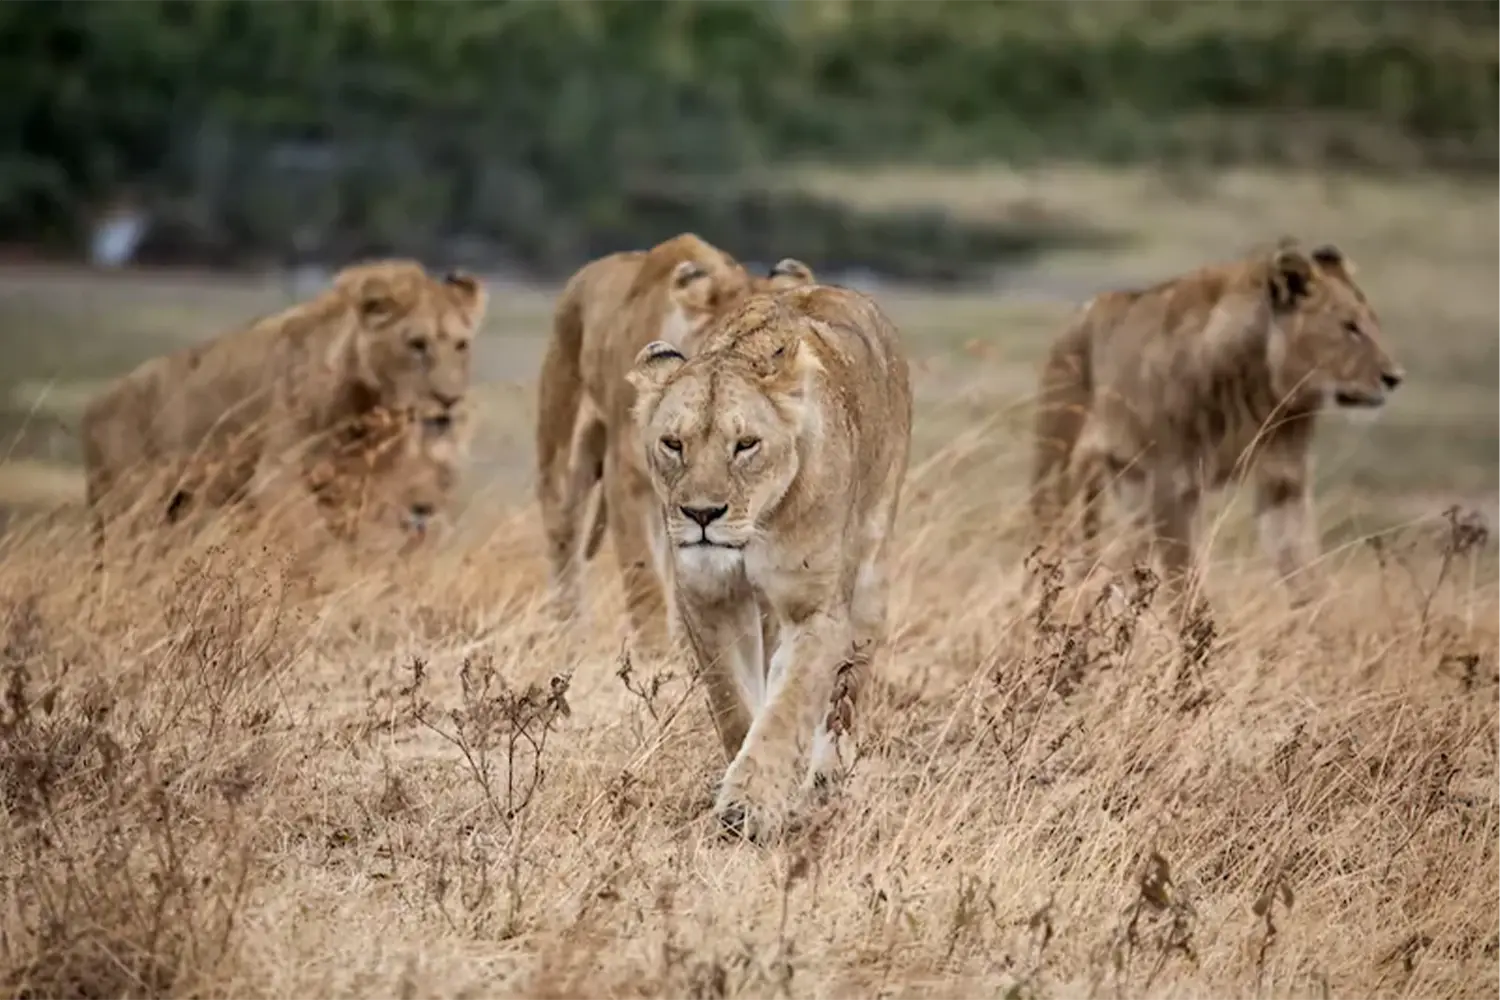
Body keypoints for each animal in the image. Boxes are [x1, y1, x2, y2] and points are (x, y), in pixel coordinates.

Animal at [82, 257, 486, 560]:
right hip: (128, 508)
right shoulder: (276, 477)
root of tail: (96, 404)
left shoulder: (364, 488)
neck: (365, 414)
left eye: (461, 345)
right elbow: (311, 538)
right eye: (417, 344)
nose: (449, 400)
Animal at [537, 235, 822, 656]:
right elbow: (643, 578)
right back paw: (567, 633)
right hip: (563, 433)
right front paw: (654, 656)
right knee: (564, 530)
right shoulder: (628, 480)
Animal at [624, 281, 906, 845]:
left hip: (870, 578)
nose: (702, 514)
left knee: (845, 697)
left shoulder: (816, 611)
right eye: (673, 444)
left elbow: (787, 708)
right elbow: (734, 702)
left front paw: (748, 808)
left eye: (746, 445)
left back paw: (825, 781)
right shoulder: (708, 598)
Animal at [1032, 239, 1404, 626]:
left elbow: (1304, 569)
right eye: (1350, 327)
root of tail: (1081, 313)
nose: (1395, 378)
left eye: (1373, 324)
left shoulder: (1284, 481)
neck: (1263, 393)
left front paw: (1323, 627)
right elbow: (1184, 584)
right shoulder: (1172, 486)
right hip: (1058, 470)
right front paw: (1195, 636)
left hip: (1129, 487)